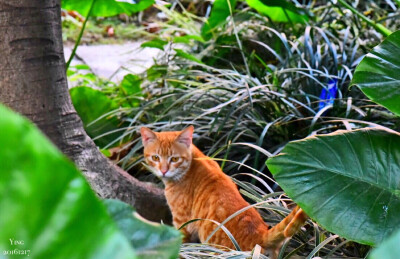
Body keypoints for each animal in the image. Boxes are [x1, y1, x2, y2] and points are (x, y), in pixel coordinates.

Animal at [142, 126, 308, 258]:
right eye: (155, 157)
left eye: (174, 159)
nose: (163, 171)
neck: (193, 162)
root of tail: (262, 233)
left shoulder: (182, 223)